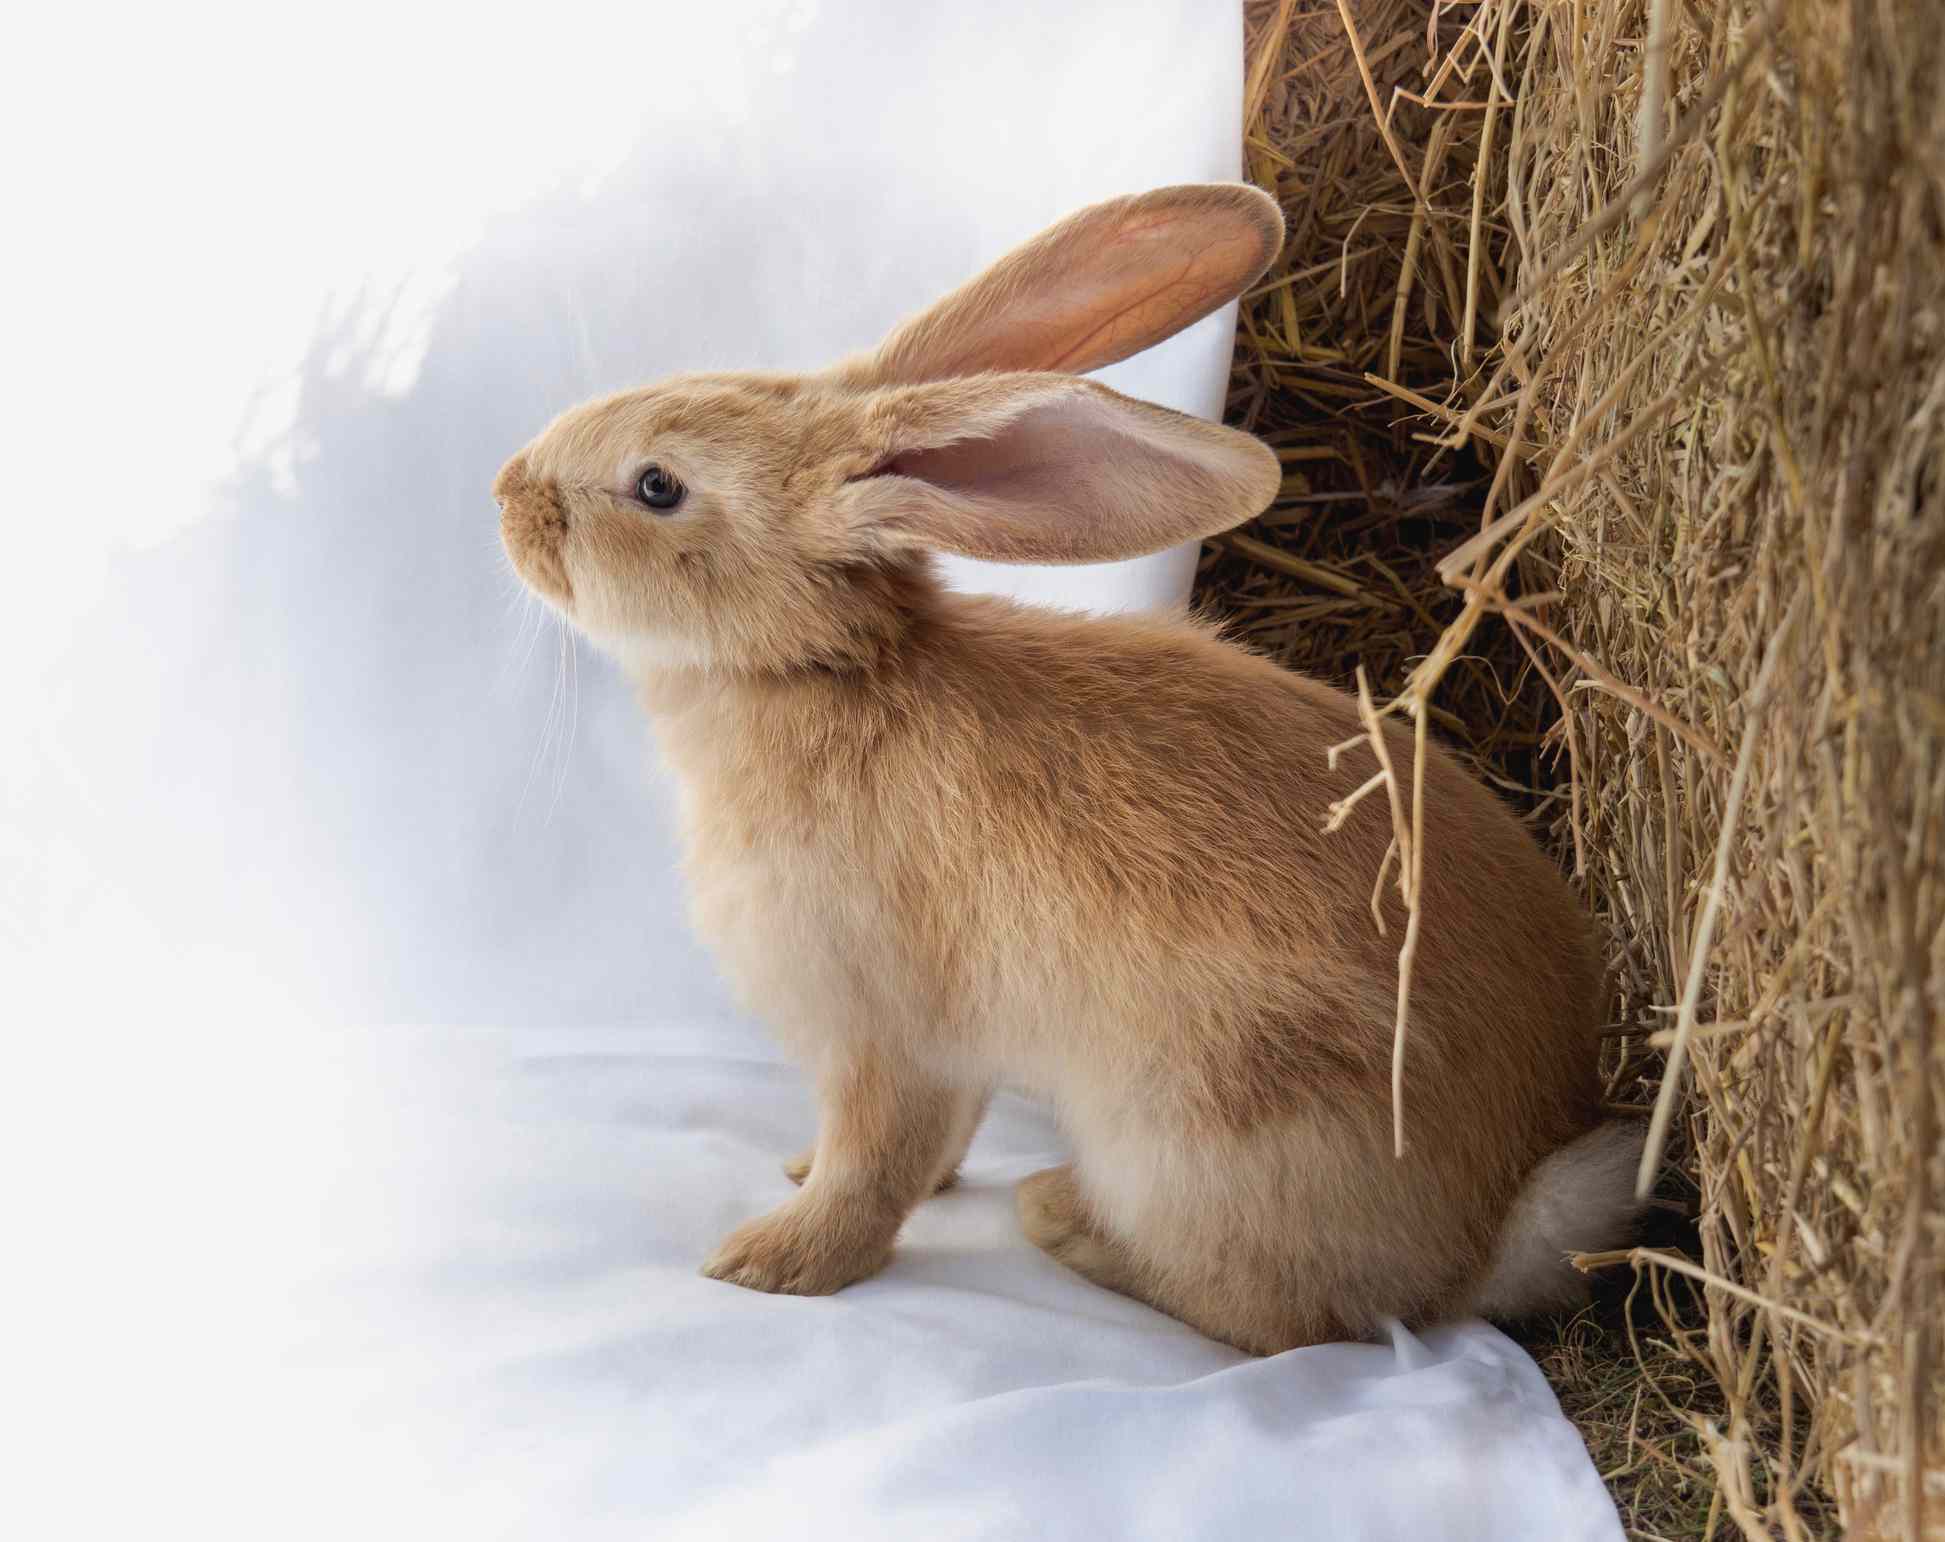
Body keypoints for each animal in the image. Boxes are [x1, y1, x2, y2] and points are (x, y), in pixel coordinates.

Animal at [497, 186, 1641, 1353]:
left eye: (657, 485)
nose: (507, 492)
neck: (822, 670)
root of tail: (1494, 1223)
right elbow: (932, 1142)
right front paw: (801, 1172)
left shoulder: (883, 1028)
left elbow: (875, 1163)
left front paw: (773, 1261)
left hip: (1202, 1132)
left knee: (1280, 1315)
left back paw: (1061, 1216)